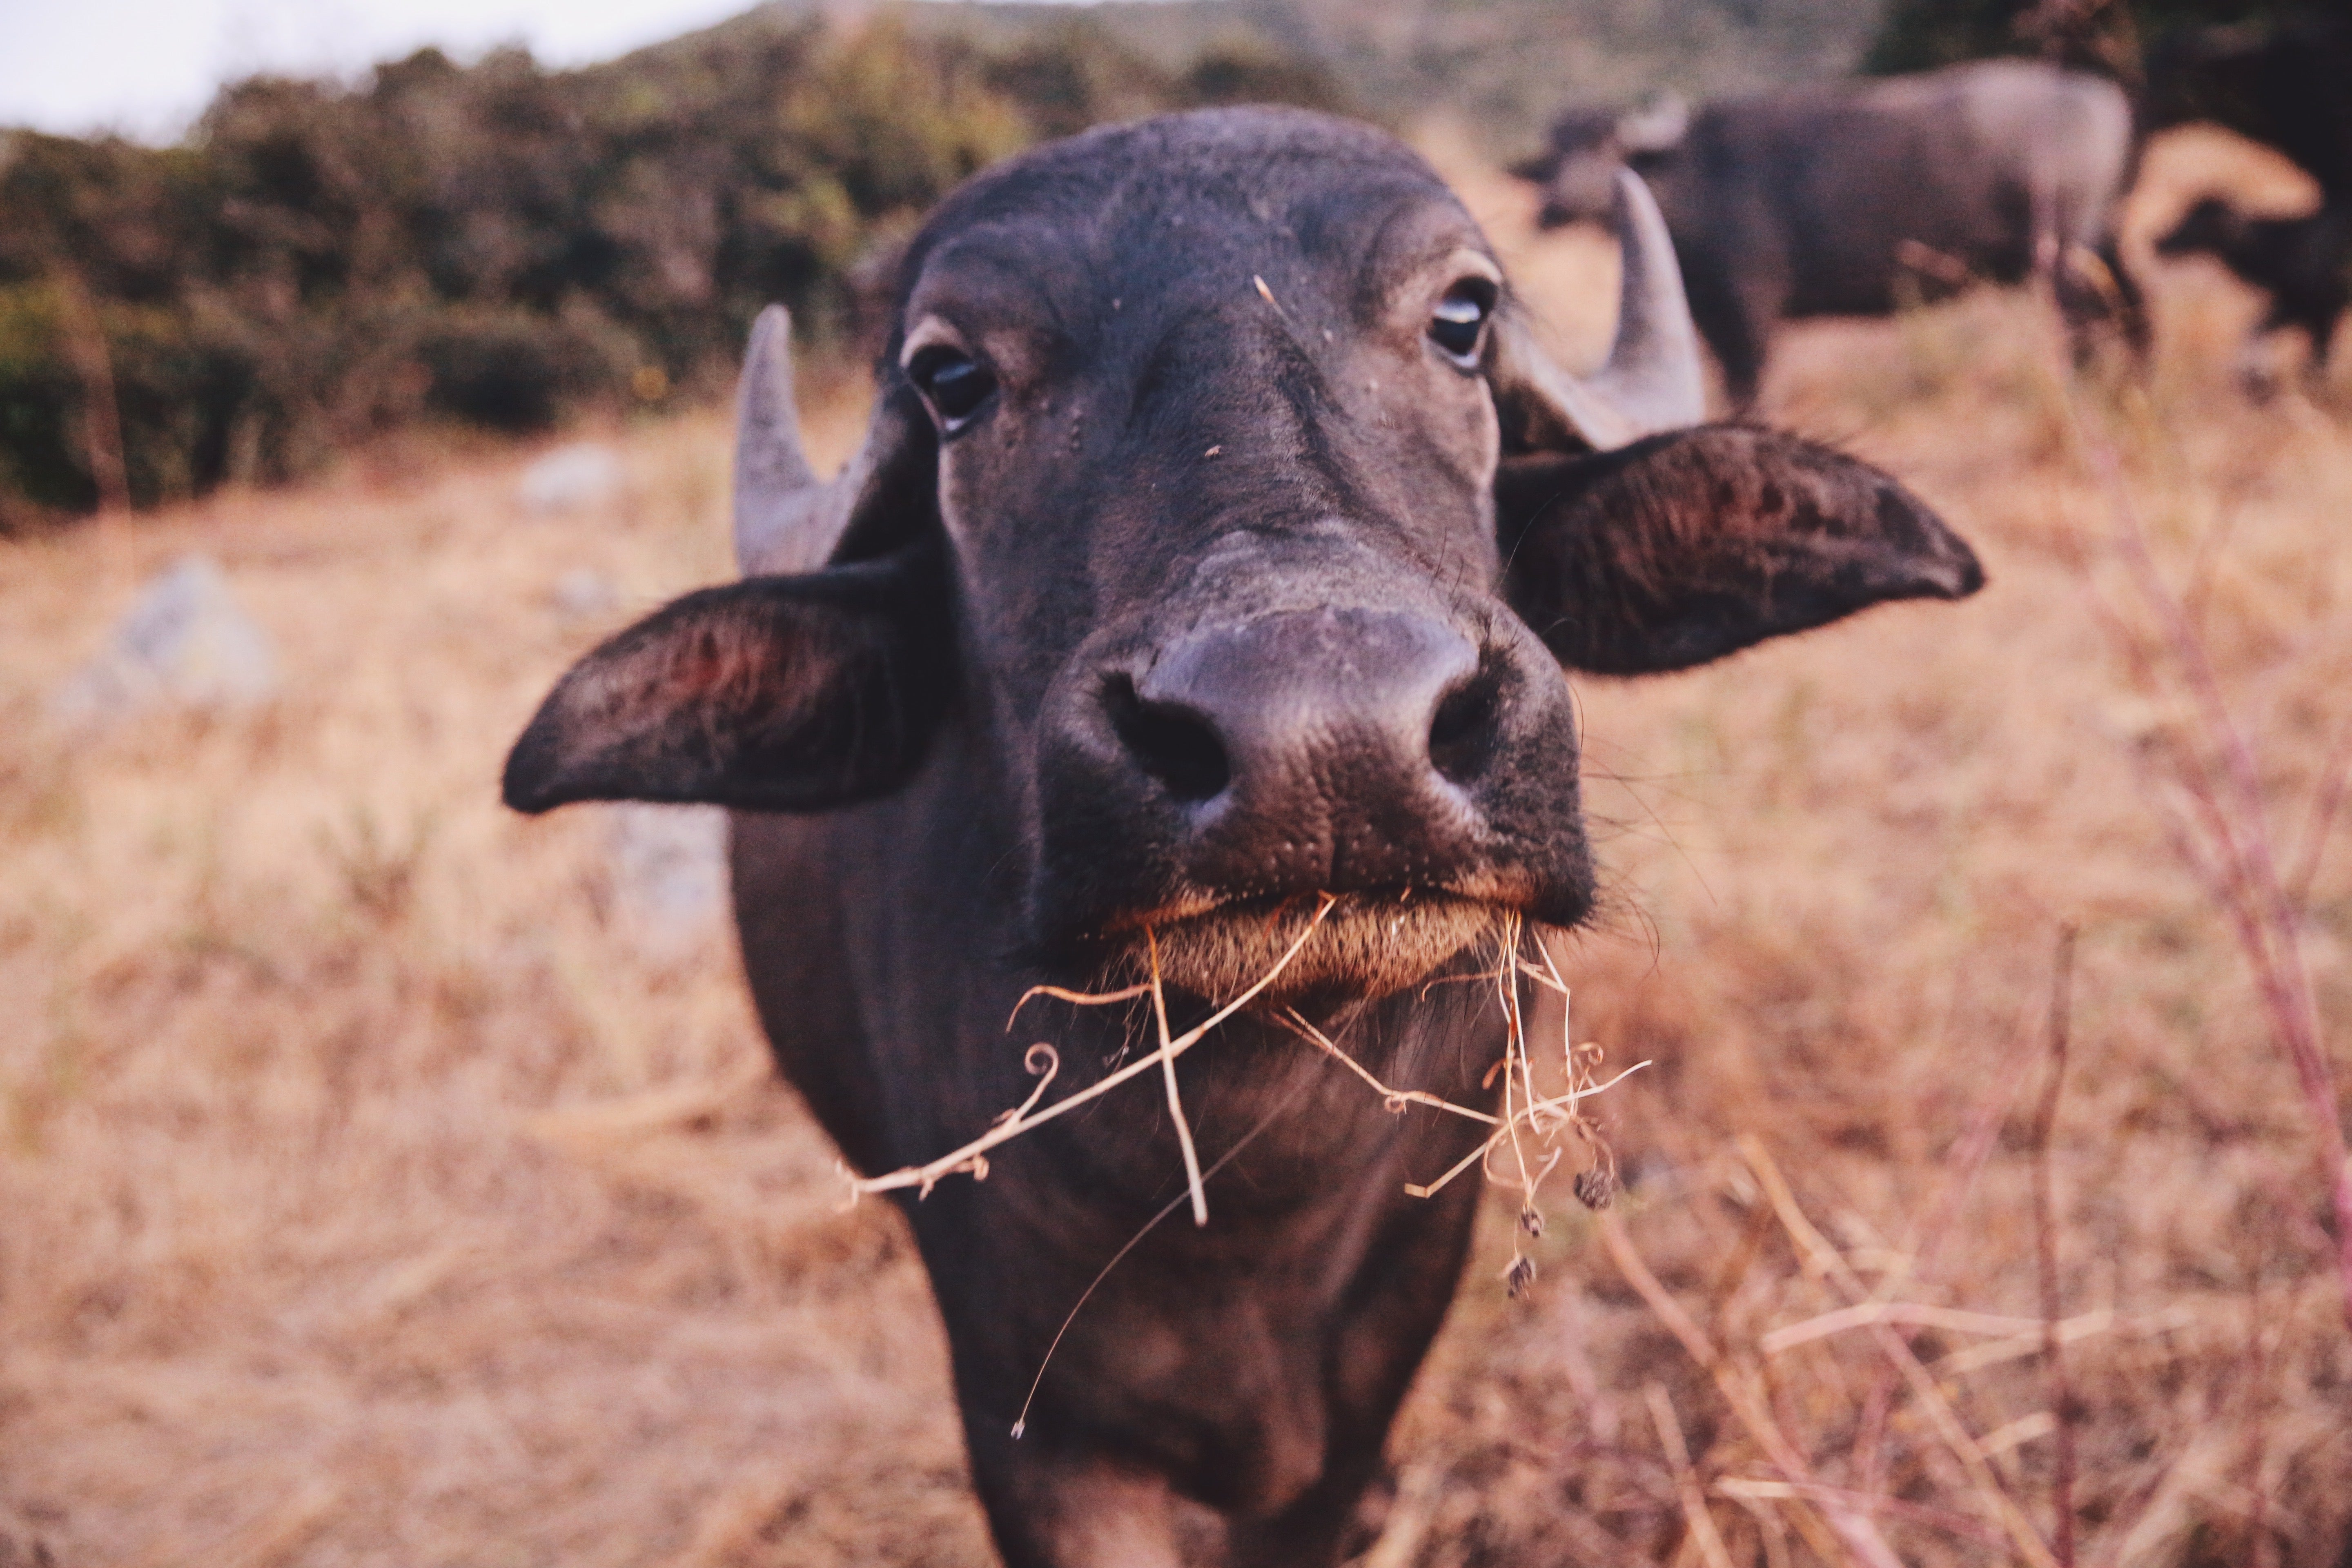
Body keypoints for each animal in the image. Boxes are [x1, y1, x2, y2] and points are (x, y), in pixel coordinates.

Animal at [501, 104, 1985, 1561]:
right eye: (953, 378)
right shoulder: (1033, 1438)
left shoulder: (1366, 1396)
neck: (1249, 1203)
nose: (1325, 736)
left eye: (1463, 315)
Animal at [1524, 62, 2154, 409]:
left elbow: (1750, 385)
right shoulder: (1706, 316)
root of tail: (2100, 97)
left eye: (1609, 147)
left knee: (2083, 322)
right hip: (2105, 239)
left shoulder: (1750, 312)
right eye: (1556, 152)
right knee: (2135, 303)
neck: (1693, 177)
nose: (1555, 208)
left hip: (2063, 254)